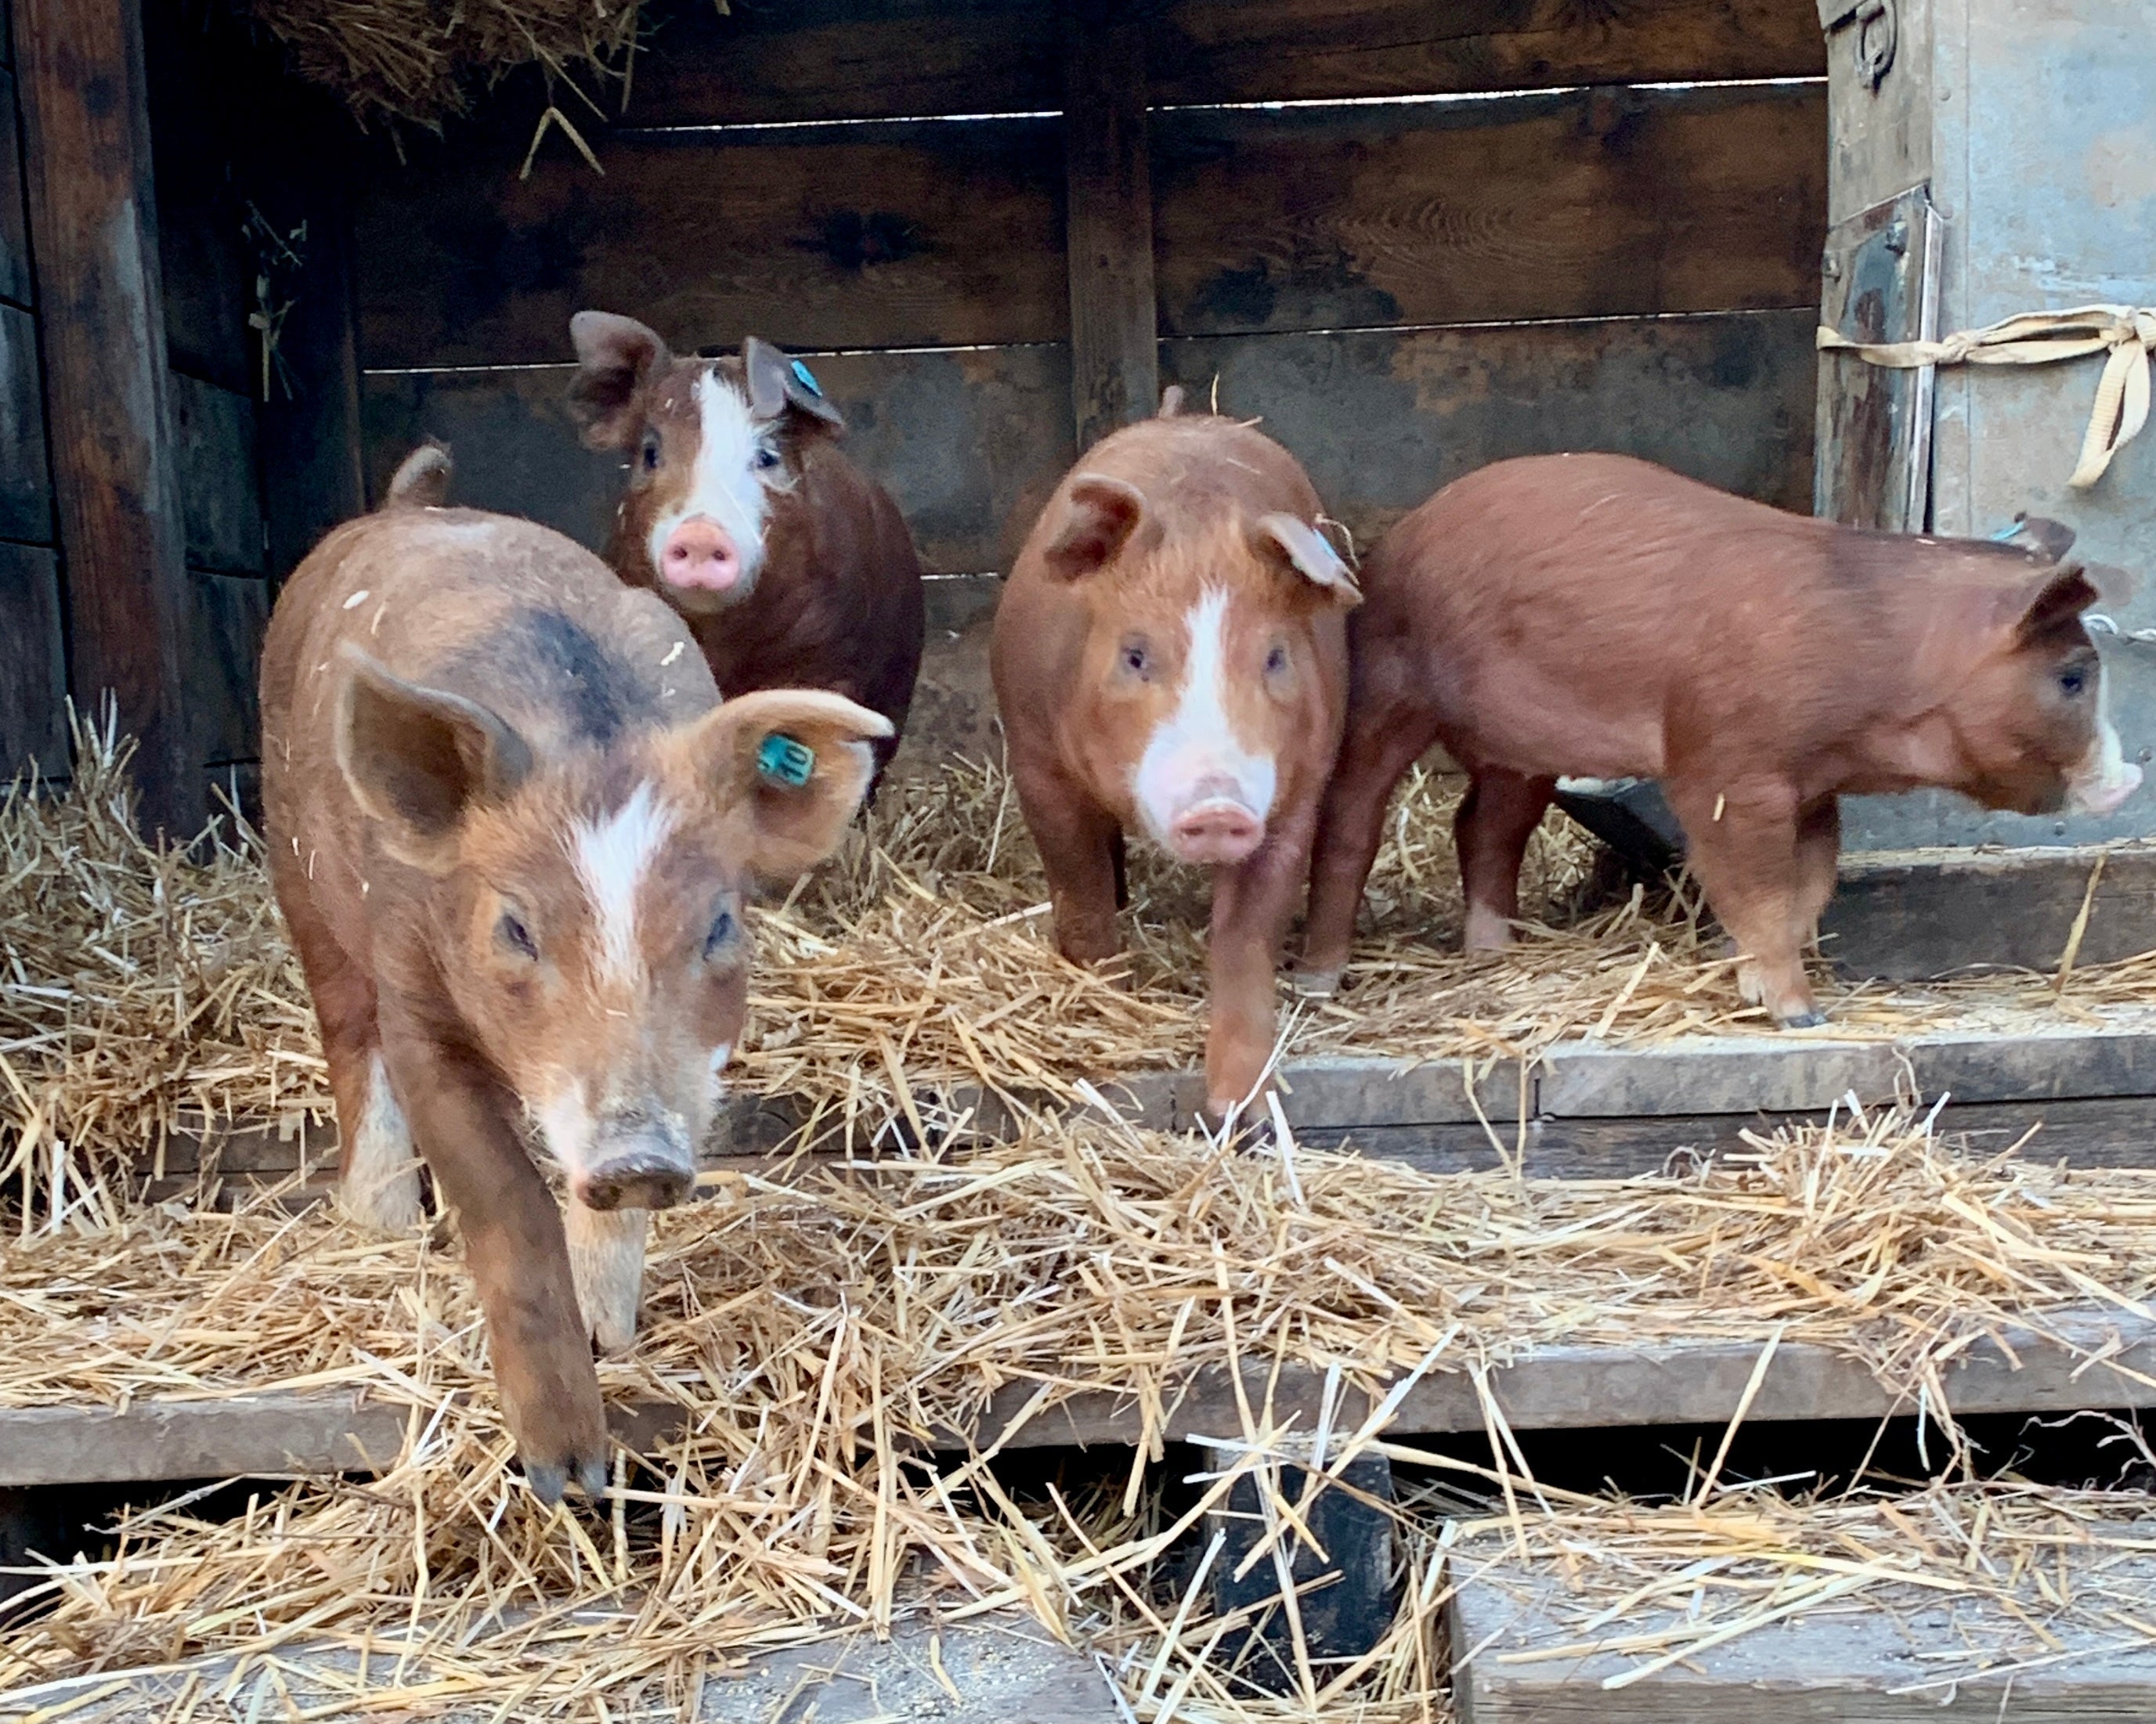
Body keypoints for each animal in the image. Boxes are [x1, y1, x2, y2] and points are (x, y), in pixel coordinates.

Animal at [260, 445, 890, 1501]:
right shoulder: (413, 988)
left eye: (720, 923)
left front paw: (612, 1340)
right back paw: (382, 1231)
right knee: (345, 1035)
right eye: (515, 926)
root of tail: (403, 507)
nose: (637, 1157)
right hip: (297, 874)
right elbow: (505, 1199)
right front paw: (566, 1478)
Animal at [993, 395, 1361, 1122]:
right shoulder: (1036, 763)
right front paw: (1104, 1001)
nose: (1217, 804)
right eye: (1135, 655)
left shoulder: (1297, 791)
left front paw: (1241, 1114)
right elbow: (1079, 891)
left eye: (1275, 657)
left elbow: (1246, 935)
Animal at [1299, 452, 2143, 1026]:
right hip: (1387, 677)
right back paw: (1320, 978)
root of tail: (1406, 528)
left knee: (1485, 824)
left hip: (1520, 742)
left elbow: (1809, 886)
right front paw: (1799, 1016)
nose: (2129, 778)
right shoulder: (1727, 768)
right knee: (1350, 819)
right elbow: (1756, 889)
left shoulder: (1813, 787)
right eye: (2073, 676)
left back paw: (1495, 953)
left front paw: (1767, 991)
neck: (1882, 663)